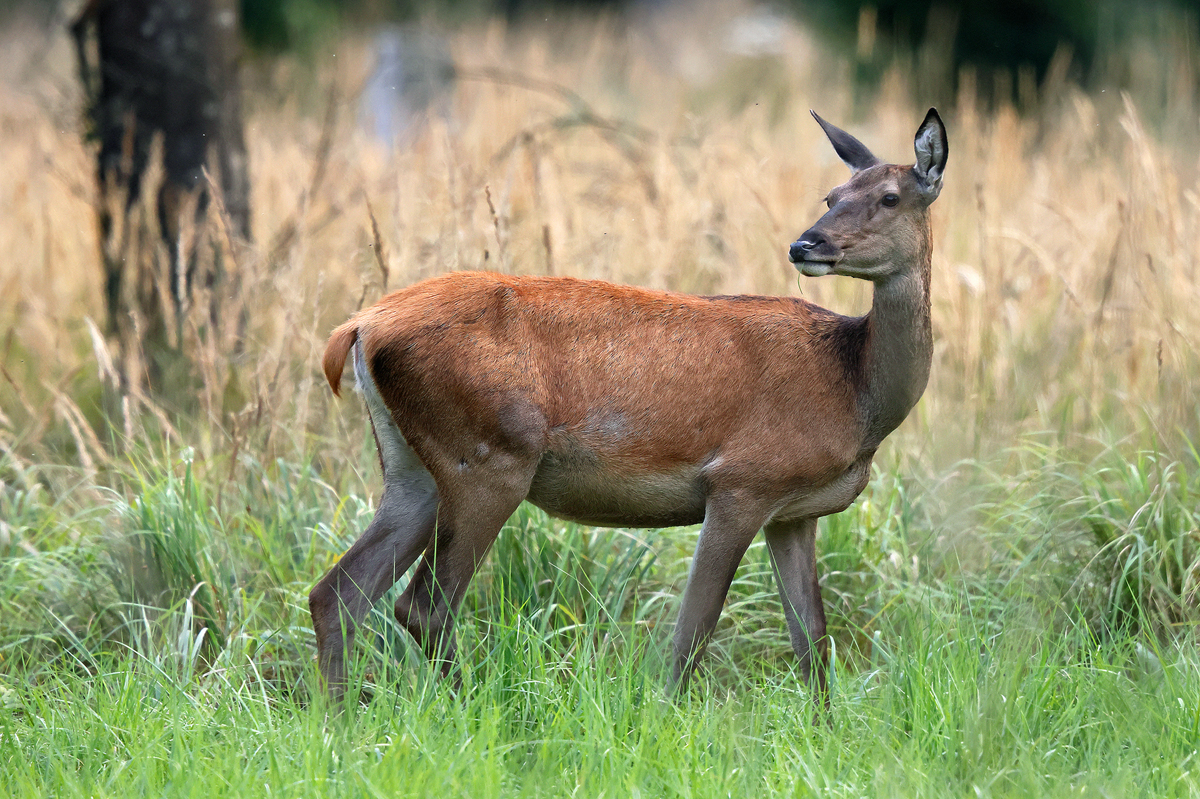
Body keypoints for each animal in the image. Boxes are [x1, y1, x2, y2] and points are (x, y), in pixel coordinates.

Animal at [309, 107, 945, 705]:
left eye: (889, 197)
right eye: (832, 196)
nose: (804, 244)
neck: (853, 389)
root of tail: (361, 327)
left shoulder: (794, 512)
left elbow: (812, 640)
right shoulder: (742, 480)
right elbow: (693, 632)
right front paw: (667, 719)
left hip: (412, 467)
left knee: (336, 593)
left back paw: (338, 717)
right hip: (488, 456)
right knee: (422, 606)